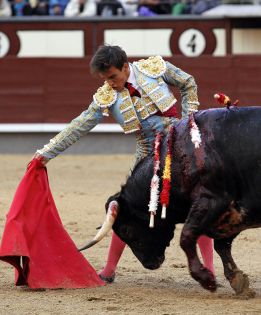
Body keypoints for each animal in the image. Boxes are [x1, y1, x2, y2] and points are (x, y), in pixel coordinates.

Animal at [88, 107, 260, 298]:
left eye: (126, 230)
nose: (149, 264)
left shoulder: (212, 199)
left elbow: (187, 236)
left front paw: (206, 279)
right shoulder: (231, 213)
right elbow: (221, 246)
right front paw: (237, 280)